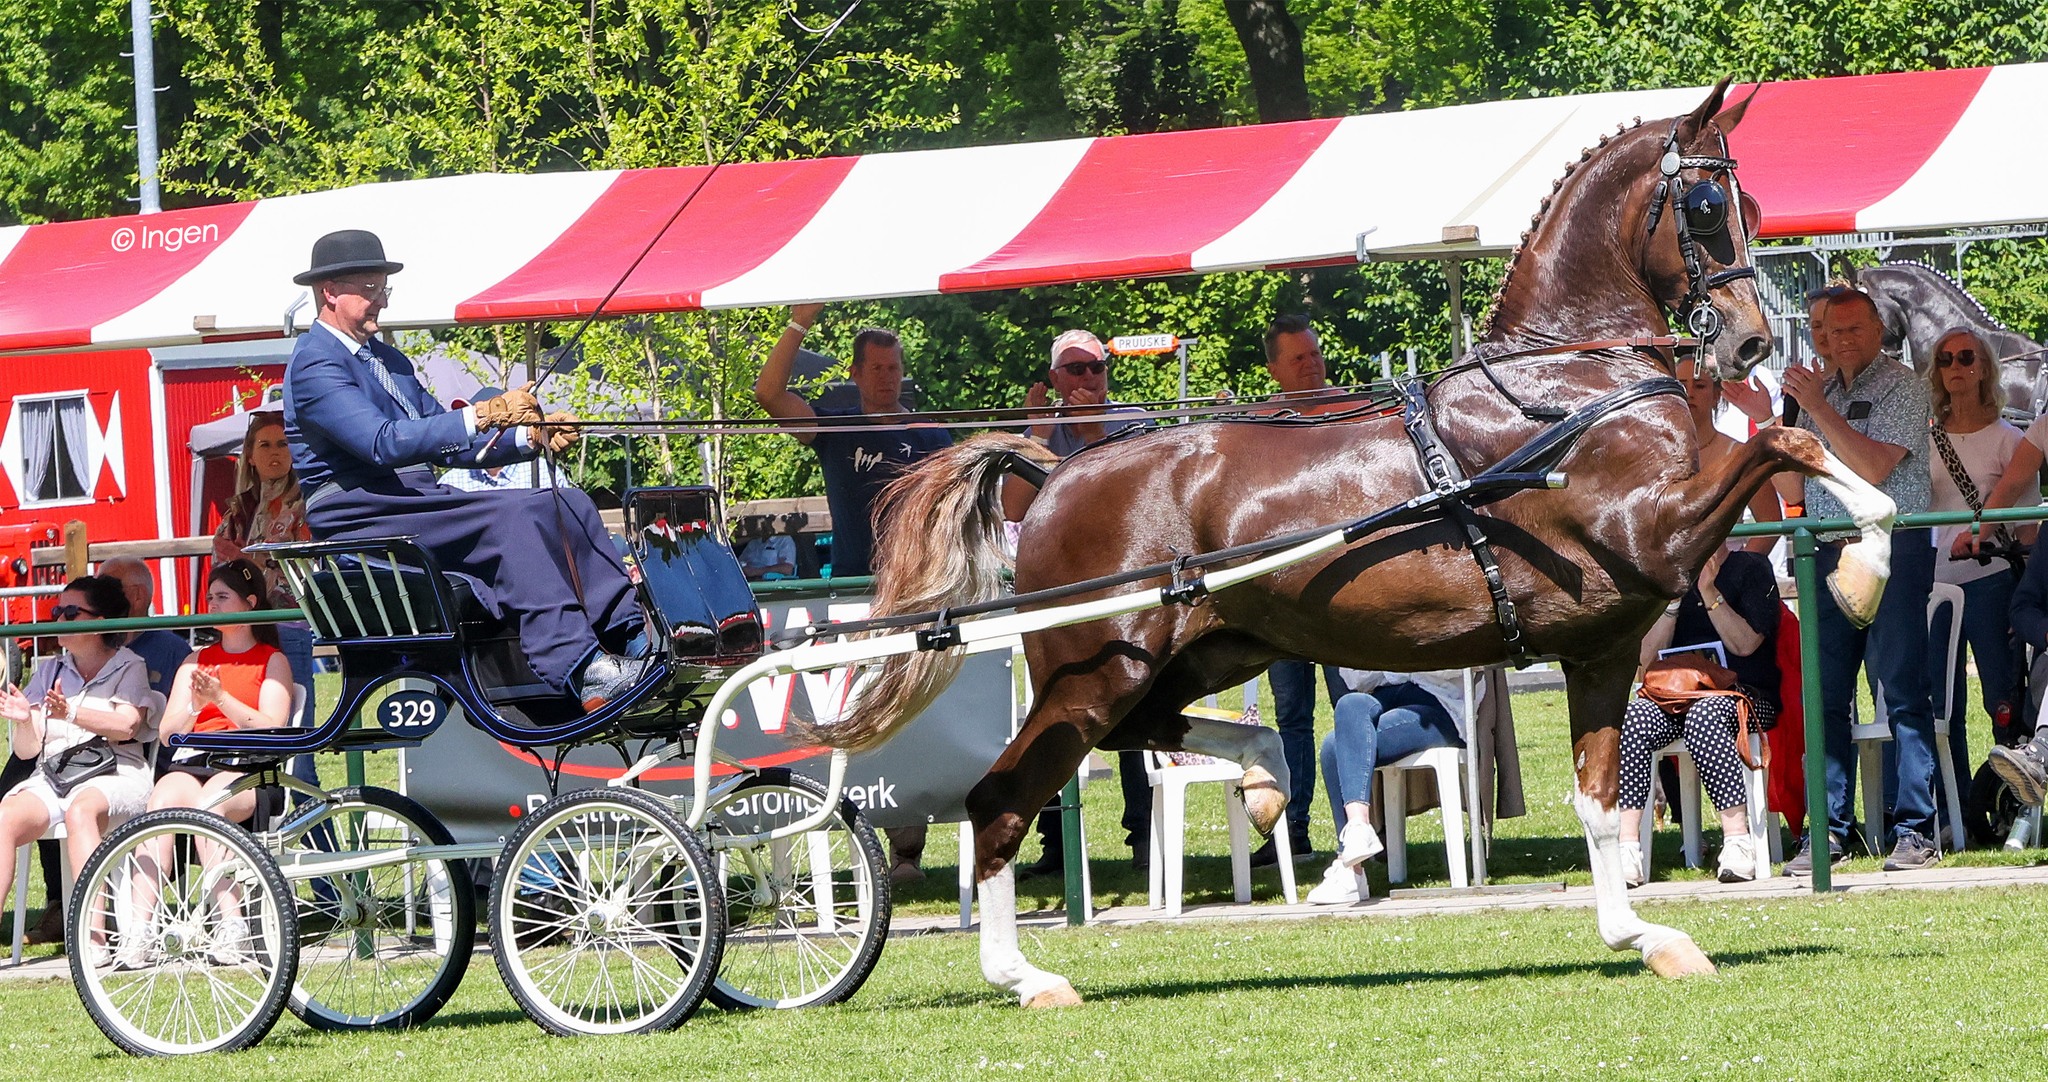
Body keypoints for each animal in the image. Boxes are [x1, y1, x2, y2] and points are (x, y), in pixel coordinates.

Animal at [830, 82, 1899, 1007]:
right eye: (1710, 203)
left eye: (1750, 201)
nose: (1753, 343)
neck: (1563, 385)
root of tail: (1052, 475)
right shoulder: (1658, 536)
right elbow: (1786, 443)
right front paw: (1863, 570)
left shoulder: (1600, 643)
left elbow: (1600, 807)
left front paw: (1643, 936)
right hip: (1093, 673)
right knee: (1002, 798)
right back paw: (1027, 975)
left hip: (1194, 655)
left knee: (1167, 738)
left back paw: (1267, 781)